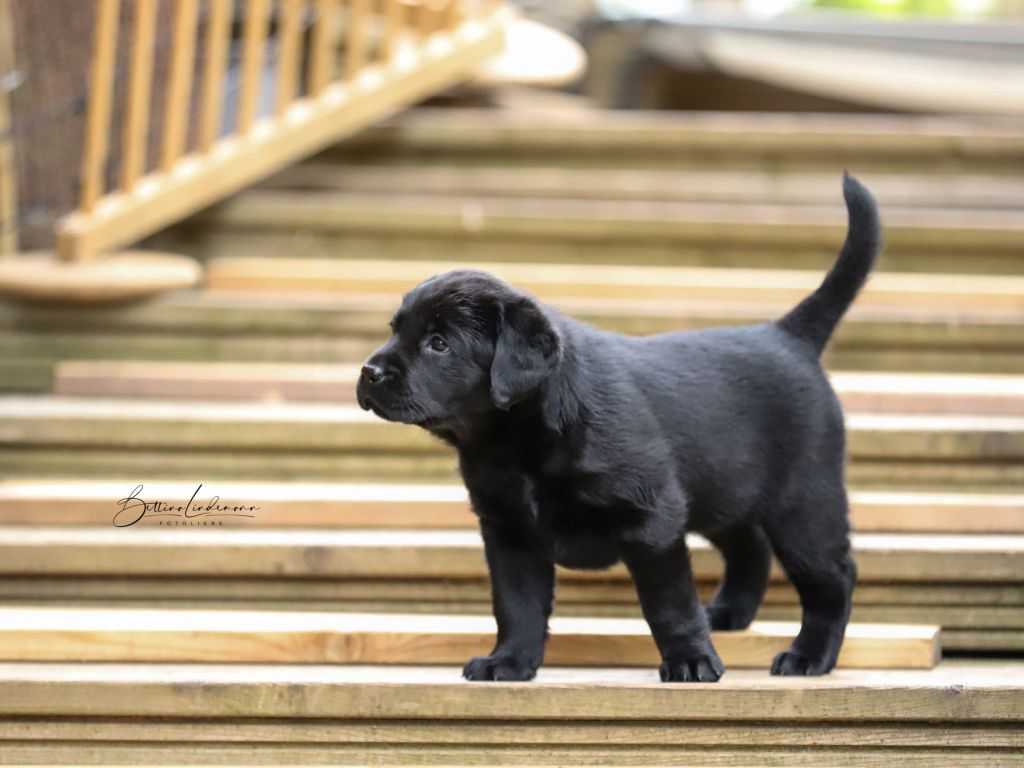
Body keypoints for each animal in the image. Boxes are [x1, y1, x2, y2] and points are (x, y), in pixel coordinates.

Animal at [357, 174, 881, 683]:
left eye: (439, 343)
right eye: (394, 329)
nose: (369, 373)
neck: (514, 443)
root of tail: (787, 335)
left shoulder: (653, 518)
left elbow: (668, 602)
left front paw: (690, 661)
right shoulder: (508, 530)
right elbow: (517, 604)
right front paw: (508, 662)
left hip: (803, 503)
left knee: (832, 577)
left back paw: (808, 655)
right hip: (724, 489)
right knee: (750, 547)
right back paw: (727, 613)